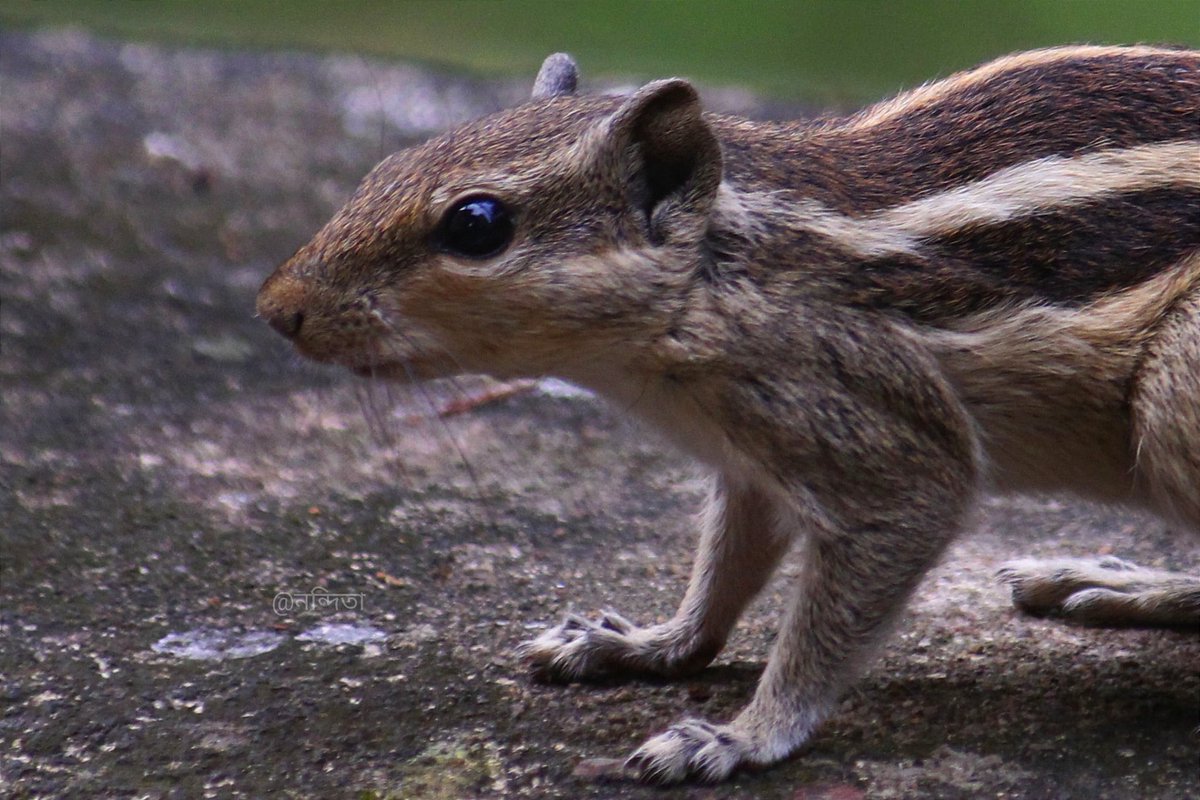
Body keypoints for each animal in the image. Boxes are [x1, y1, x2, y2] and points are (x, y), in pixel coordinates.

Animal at [257, 46, 1200, 783]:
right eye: (383, 170)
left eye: (477, 224)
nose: (276, 309)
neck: (723, 269)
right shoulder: (749, 458)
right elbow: (722, 571)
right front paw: (643, 645)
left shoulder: (878, 435)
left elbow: (833, 612)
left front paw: (742, 736)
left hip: (1172, 395)